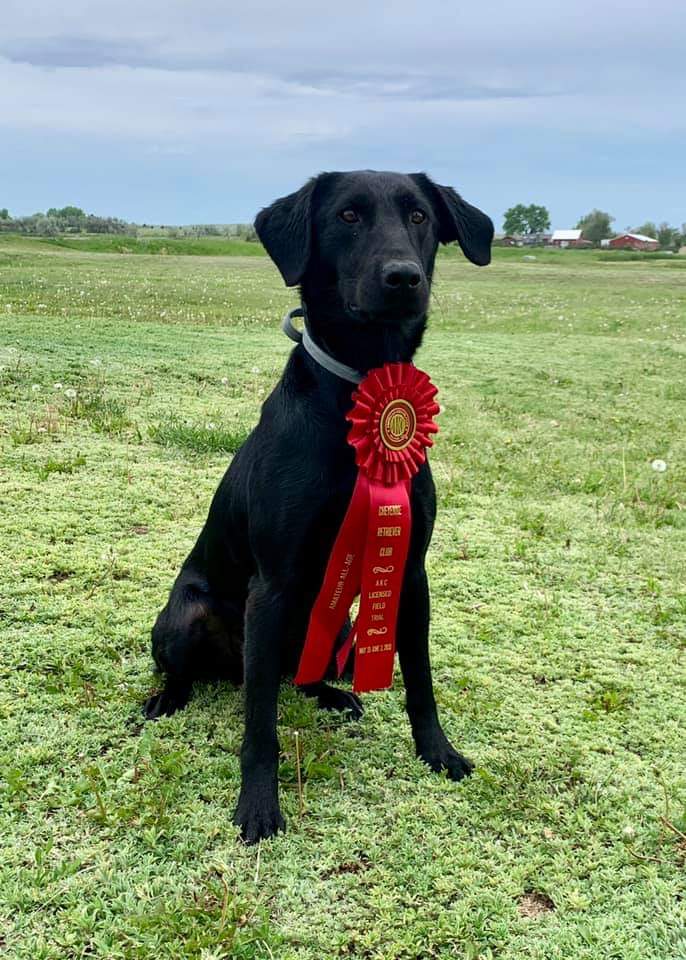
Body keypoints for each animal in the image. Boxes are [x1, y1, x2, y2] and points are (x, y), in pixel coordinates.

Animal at [145, 171, 494, 840]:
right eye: (348, 216)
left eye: (419, 216)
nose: (404, 278)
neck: (358, 391)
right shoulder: (273, 584)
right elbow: (259, 725)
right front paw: (258, 804)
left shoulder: (410, 574)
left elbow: (421, 680)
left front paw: (437, 752)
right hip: (190, 616)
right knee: (207, 674)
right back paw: (167, 698)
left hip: (346, 631)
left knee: (297, 678)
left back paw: (333, 695)